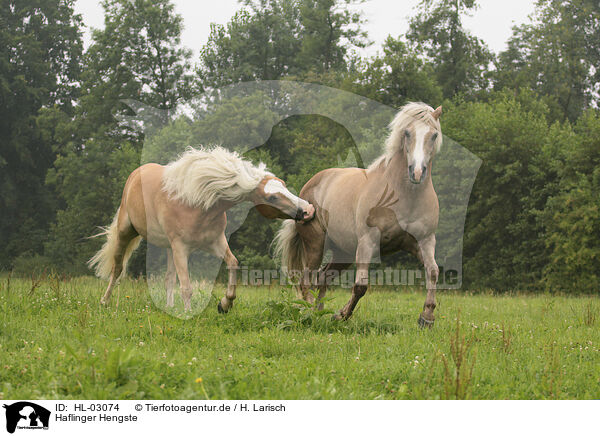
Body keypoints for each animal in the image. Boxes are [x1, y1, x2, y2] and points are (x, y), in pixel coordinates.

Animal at [89, 147, 316, 314]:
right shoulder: (181, 248)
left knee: (168, 277)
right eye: (272, 197)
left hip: (169, 248)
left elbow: (233, 264)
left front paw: (225, 304)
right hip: (126, 233)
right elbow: (187, 286)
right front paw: (189, 313)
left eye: (283, 185)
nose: (308, 210)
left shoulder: (215, 242)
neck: (197, 204)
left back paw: (169, 307)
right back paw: (104, 301)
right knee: (117, 268)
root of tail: (136, 174)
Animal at [274, 102, 442, 328]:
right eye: (407, 133)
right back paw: (310, 313)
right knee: (306, 280)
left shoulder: (424, 241)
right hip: (316, 245)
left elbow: (433, 271)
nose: (417, 172)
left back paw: (320, 312)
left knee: (323, 277)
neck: (405, 196)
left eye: (434, 135)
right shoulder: (367, 242)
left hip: (342, 252)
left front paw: (427, 317)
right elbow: (361, 285)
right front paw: (341, 314)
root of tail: (307, 190)